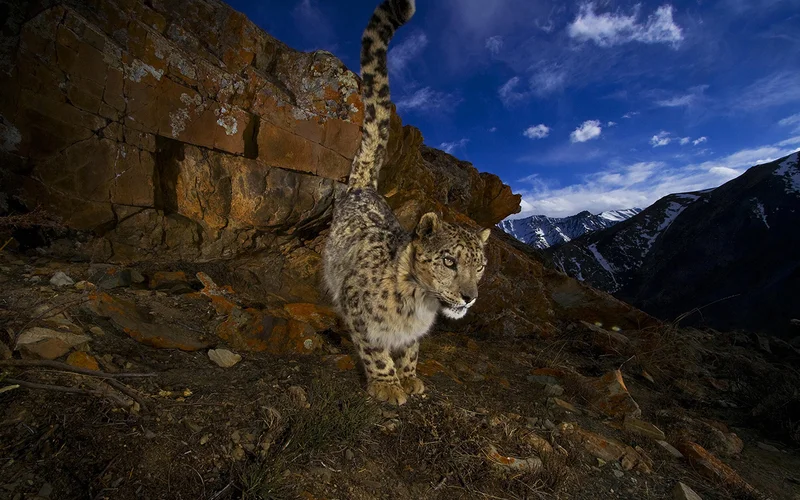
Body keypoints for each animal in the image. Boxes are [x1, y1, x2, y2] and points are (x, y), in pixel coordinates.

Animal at [322, 0, 490, 406]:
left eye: (480, 266)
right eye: (449, 261)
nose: (469, 298)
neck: (421, 305)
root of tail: (364, 189)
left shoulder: (414, 333)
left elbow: (410, 347)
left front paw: (410, 377)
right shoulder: (358, 311)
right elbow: (374, 349)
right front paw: (388, 385)